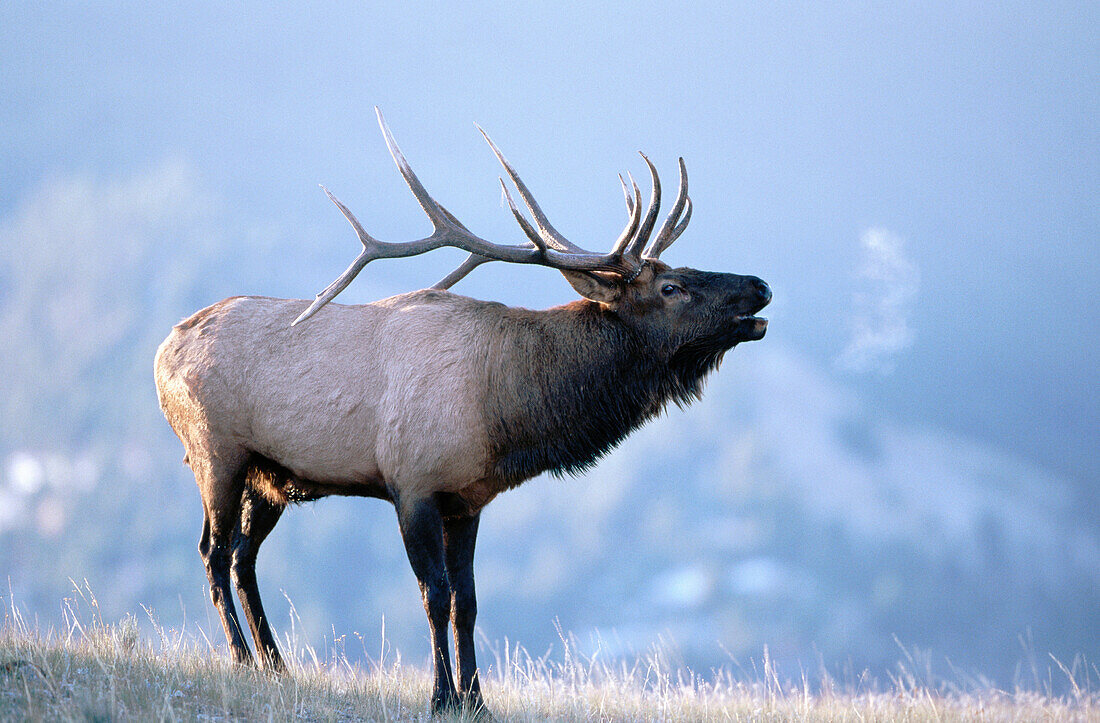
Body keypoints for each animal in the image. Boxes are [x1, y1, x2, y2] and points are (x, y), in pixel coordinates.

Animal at [155, 108, 774, 717]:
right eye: (671, 286)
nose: (761, 286)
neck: (504, 413)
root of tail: (163, 349)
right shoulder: (412, 483)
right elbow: (434, 595)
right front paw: (440, 696)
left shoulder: (468, 499)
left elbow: (468, 601)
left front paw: (476, 699)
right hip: (217, 452)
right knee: (213, 552)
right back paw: (241, 659)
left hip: (270, 476)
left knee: (244, 556)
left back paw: (276, 665)